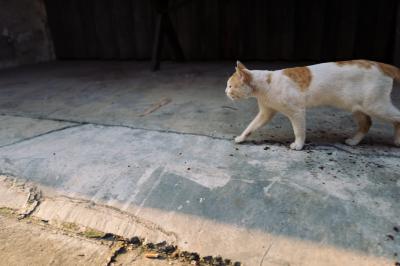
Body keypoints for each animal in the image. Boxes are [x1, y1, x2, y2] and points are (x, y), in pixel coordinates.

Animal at [225, 61, 400, 151]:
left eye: (231, 86)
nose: (225, 91)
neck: (267, 83)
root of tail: (382, 65)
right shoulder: (266, 113)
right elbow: (251, 126)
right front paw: (241, 138)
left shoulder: (297, 111)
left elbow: (299, 130)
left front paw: (298, 145)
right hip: (357, 107)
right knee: (367, 123)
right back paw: (354, 141)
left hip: (375, 106)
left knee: (397, 117)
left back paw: (397, 141)